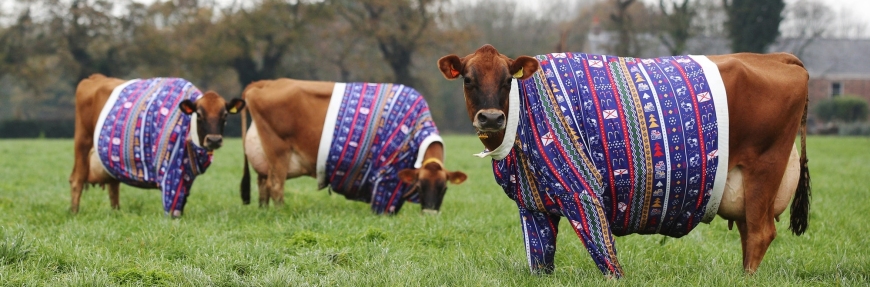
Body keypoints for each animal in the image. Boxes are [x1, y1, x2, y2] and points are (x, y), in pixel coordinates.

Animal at [67, 75, 245, 218]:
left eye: (225, 115)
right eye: (199, 114)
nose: (214, 140)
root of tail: (95, 77)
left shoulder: (187, 172)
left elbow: (182, 197)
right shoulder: (170, 169)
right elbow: (171, 201)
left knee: (113, 185)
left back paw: (116, 212)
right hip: (82, 141)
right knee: (77, 179)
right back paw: (75, 213)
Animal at [238, 77, 470, 215]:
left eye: (444, 188)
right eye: (420, 187)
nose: (430, 214)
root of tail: (264, 83)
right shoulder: (386, 176)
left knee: (263, 185)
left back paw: (264, 211)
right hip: (278, 150)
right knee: (275, 186)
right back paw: (280, 213)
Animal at [440, 45, 816, 280]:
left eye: (508, 80)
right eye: (468, 79)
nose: (491, 118)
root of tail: (779, 58)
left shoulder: (582, 189)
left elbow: (606, 255)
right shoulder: (532, 205)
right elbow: (540, 261)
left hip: (764, 169)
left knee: (760, 232)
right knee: (749, 232)